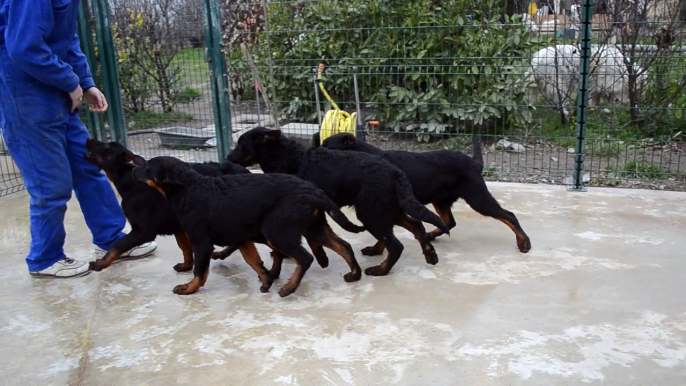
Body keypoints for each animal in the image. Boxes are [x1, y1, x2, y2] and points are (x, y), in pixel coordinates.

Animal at [83, 139, 254, 272]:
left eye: (106, 146)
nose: (87, 139)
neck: (130, 180)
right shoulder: (177, 225)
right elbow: (185, 247)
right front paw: (187, 266)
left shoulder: (143, 231)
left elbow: (118, 244)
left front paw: (101, 263)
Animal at [130, 155, 366, 298]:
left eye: (148, 168)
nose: (133, 169)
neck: (189, 189)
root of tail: (313, 190)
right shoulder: (241, 238)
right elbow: (254, 261)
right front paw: (266, 281)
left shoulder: (202, 242)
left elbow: (199, 271)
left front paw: (188, 288)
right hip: (313, 227)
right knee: (343, 245)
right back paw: (354, 274)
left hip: (276, 231)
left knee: (305, 257)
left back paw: (289, 288)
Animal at [226, 128, 452, 276]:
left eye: (241, 144)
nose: (227, 157)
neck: (285, 156)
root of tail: (394, 171)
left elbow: (312, 239)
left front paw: (319, 257)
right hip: (386, 210)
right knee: (416, 224)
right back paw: (429, 254)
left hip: (371, 213)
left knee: (396, 246)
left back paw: (381, 270)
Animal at [322, 133, 532, 253]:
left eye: (328, 148)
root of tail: (475, 163)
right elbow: (385, 232)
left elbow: (385, 233)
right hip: (441, 200)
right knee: (449, 221)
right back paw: (431, 235)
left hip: (477, 197)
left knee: (508, 215)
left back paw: (524, 243)